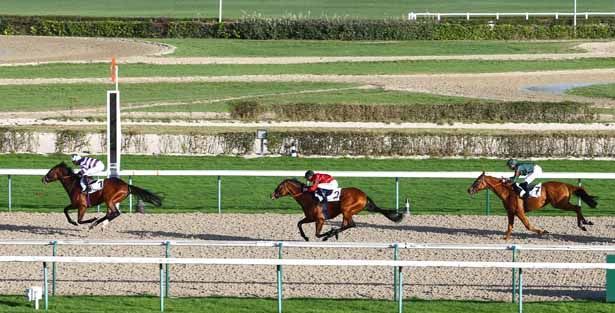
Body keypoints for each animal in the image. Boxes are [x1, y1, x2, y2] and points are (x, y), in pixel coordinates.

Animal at [270, 177, 404, 240]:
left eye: (279, 187)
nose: (272, 195)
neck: (308, 197)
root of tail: (364, 195)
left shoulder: (320, 219)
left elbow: (317, 234)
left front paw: (327, 233)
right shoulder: (310, 218)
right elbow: (299, 223)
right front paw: (305, 237)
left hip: (346, 209)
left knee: (350, 224)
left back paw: (331, 234)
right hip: (347, 212)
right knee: (347, 225)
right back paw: (333, 233)